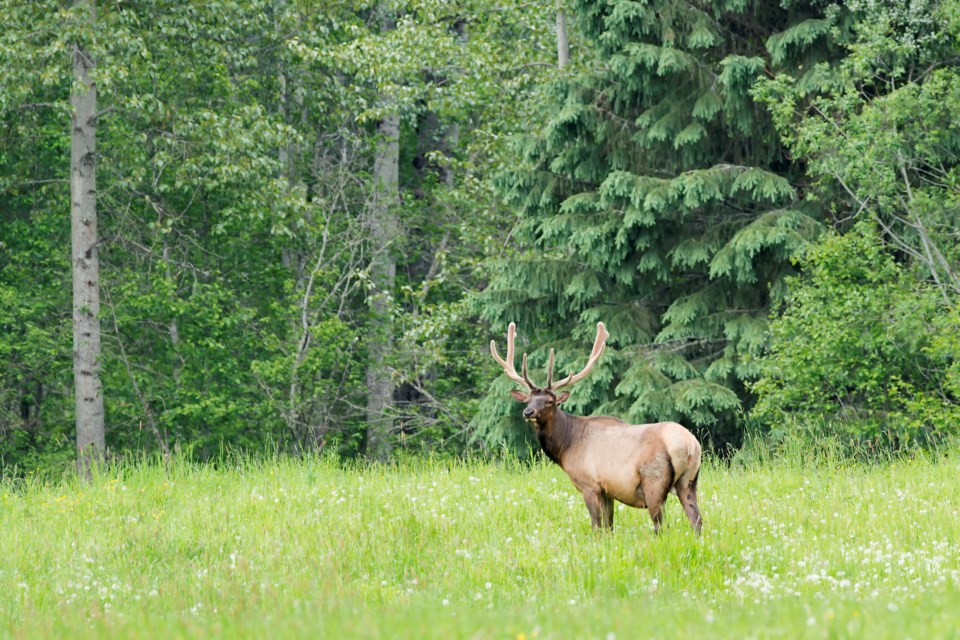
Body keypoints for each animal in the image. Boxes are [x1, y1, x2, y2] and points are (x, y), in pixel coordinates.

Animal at [492, 320, 700, 536]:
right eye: (529, 400)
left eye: (550, 401)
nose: (528, 412)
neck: (566, 447)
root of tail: (689, 445)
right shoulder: (608, 489)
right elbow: (609, 526)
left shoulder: (589, 484)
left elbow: (596, 525)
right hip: (689, 481)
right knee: (696, 519)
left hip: (654, 481)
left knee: (660, 525)